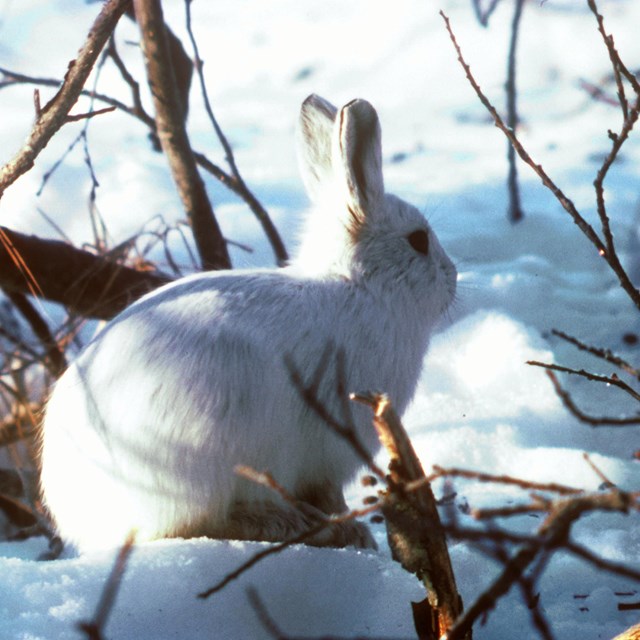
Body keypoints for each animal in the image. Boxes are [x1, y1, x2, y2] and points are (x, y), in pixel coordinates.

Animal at [39, 94, 457, 552]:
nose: (453, 278)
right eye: (418, 240)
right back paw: (289, 525)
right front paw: (353, 529)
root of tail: (89, 519)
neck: (360, 287)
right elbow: (330, 493)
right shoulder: (332, 447)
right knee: (194, 525)